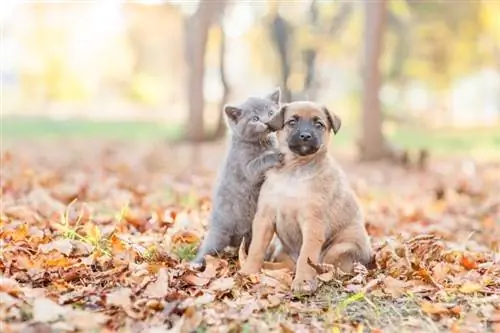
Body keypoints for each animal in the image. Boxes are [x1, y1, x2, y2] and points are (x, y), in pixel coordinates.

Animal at [191, 87, 284, 264]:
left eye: (270, 112)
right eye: (255, 118)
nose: (266, 122)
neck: (262, 143)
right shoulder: (246, 167)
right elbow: (259, 162)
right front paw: (274, 155)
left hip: (250, 233)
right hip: (219, 236)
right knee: (207, 249)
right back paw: (195, 263)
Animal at [240, 100, 374, 292]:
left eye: (319, 124)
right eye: (292, 122)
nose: (305, 136)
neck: (294, 171)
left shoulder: (313, 224)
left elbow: (306, 257)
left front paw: (303, 282)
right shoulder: (264, 218)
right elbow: (256, 249)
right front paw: (248, 271)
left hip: (338, 250)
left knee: (327, 266)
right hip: (281, 251)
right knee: (287, 266)